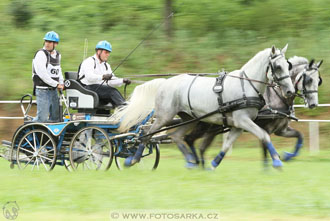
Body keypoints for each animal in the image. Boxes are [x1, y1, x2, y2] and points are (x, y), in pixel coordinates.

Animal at [113, 44, 294, 169]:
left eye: (288, 65)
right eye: (278, 67)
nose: (290, 91)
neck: (246, 85)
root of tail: (165, 82)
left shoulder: (238, 124)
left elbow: (227, 145)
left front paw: (212, 165)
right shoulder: (243, 120)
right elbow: (264, 135)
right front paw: (277, 162)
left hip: (189, 118)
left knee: (176, 136)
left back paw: (190, 162)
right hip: (164, 116)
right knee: (146, 134)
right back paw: (132, 159)